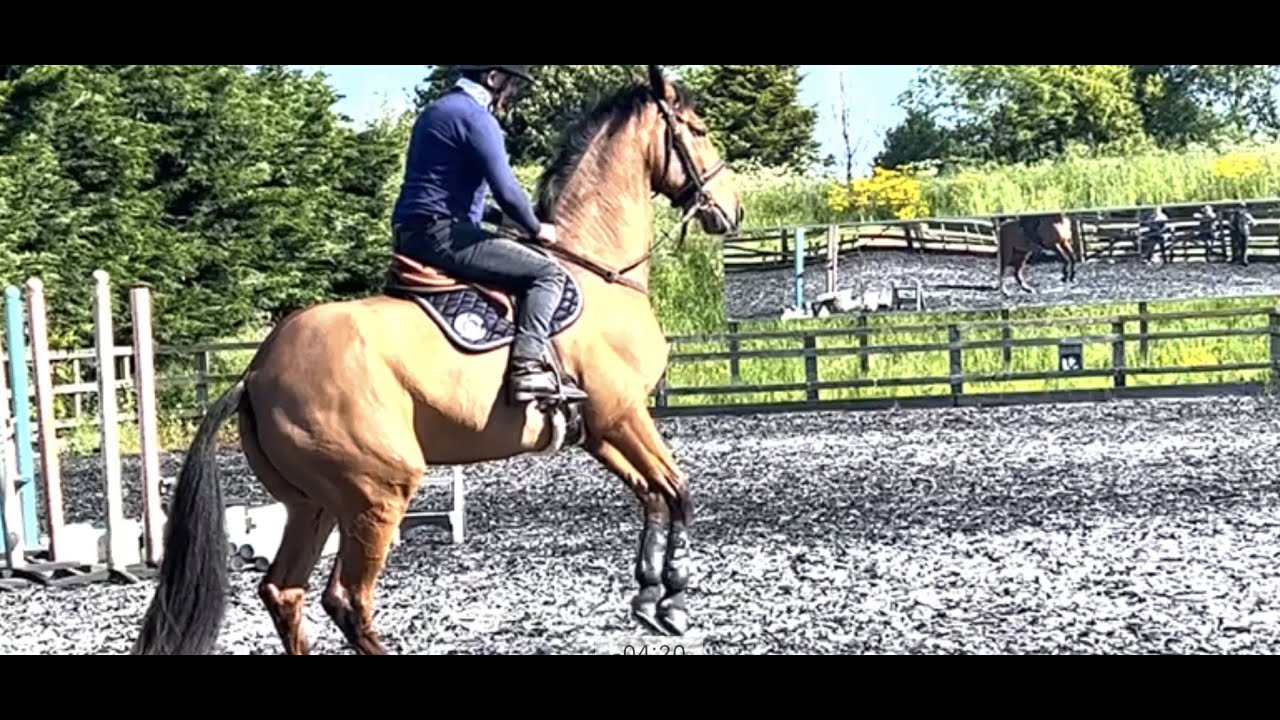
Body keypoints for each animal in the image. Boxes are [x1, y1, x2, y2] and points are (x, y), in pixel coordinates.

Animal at [130, 65, 744, 655]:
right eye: (698, 131)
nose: (733, 210)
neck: (596, 272)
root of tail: (255, 372)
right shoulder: (623, 415)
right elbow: (677, 491)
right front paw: (672, 602)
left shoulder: (599, 429)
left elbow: (655, 496)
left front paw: (650, 598)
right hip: (377, 493)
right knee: (346, 599)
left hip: (312, 505)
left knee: (285, 591)